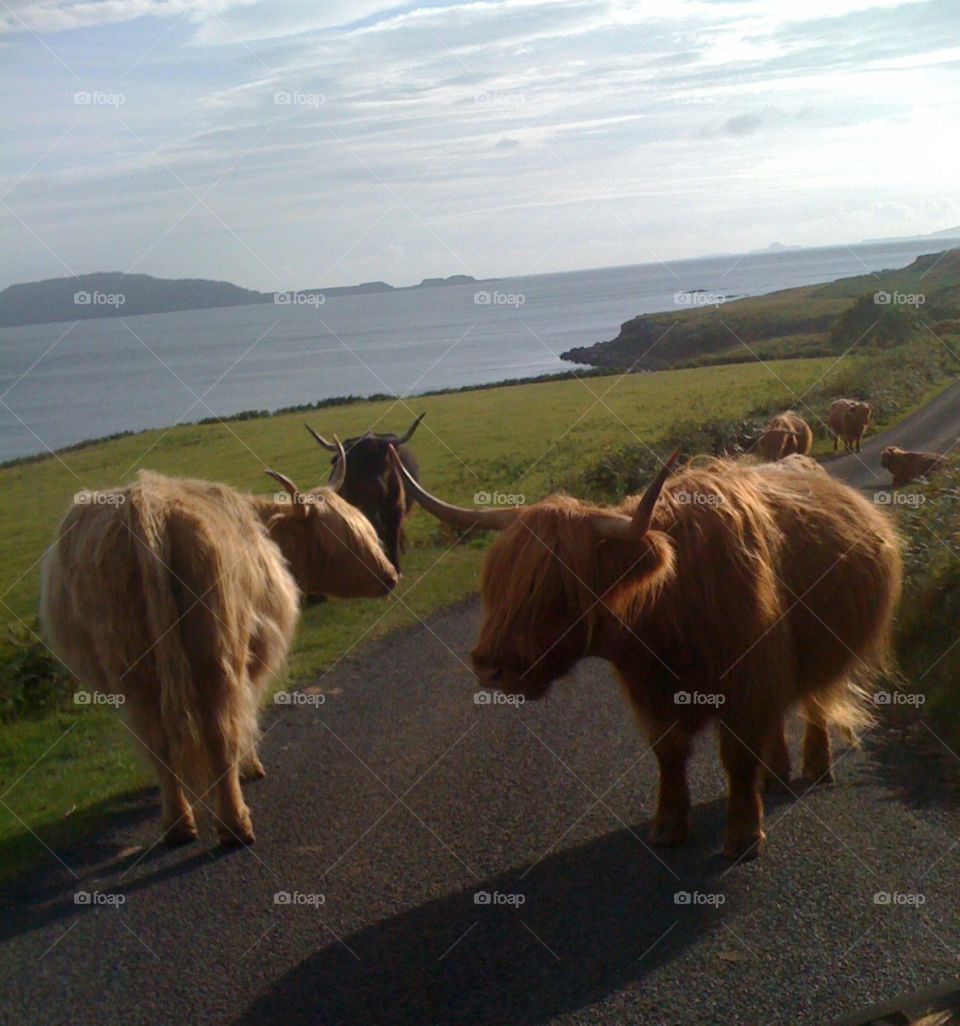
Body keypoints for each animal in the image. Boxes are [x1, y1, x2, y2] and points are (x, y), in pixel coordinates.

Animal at [39, 441, 398, 848]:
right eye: (342, 540)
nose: (391, 575)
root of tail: (146, 511)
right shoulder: (254, 655)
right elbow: (247, 710)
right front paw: (251, 765)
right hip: (218, 657)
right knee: (219, 731)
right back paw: (234, 824)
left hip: (132, 672)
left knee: (157, 740)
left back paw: (178, 824)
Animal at [305, 413, 425, 573]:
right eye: (353, 465)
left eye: (384, 461)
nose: (378, 487)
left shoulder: (395, 513)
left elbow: (392, 542)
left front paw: (396, 569)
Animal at [390, 448, 901, 861]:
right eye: (495, 581)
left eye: (557, 588)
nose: (489, 666)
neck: (671, 603)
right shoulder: (651, 693)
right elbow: (669, 757)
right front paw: (668, 828)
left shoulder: (745, 684)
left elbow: (737, 757)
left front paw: (742, 837)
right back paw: (775, 773)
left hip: (825, 650)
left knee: (816, 702)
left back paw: (815, 767)